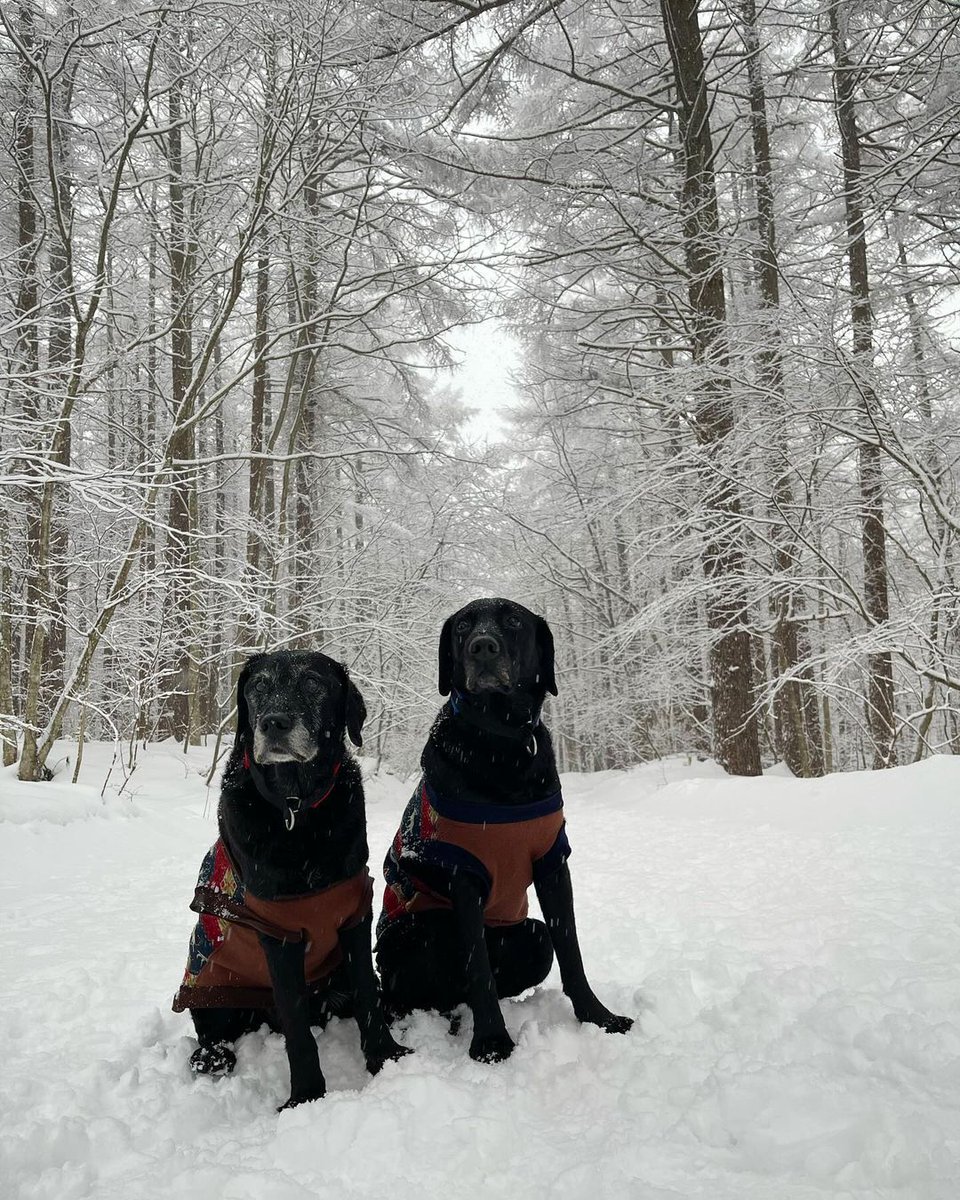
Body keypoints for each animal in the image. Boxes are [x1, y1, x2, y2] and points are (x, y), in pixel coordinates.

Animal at [172, 652, 408, 1108]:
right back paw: (212, 1057)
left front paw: (386, 1059)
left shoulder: (354, 912)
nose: (273, 723)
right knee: (211, 1037)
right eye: (258, 685)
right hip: (211, 989)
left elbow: (368, 996)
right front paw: (307, 1097)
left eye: (313, 683)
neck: (297, 809)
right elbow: (297, 1026)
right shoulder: (278, 932)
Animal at [376, 597, 638, 1060]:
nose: (482, 647)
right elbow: (478, 967)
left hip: (532, 937)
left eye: (514, 621)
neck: (503, 741)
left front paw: (598, 1017)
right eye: (463, 626)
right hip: (420, 928)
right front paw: (492, 1042)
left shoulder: (553, 861)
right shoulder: (463, 874)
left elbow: (571, 949)